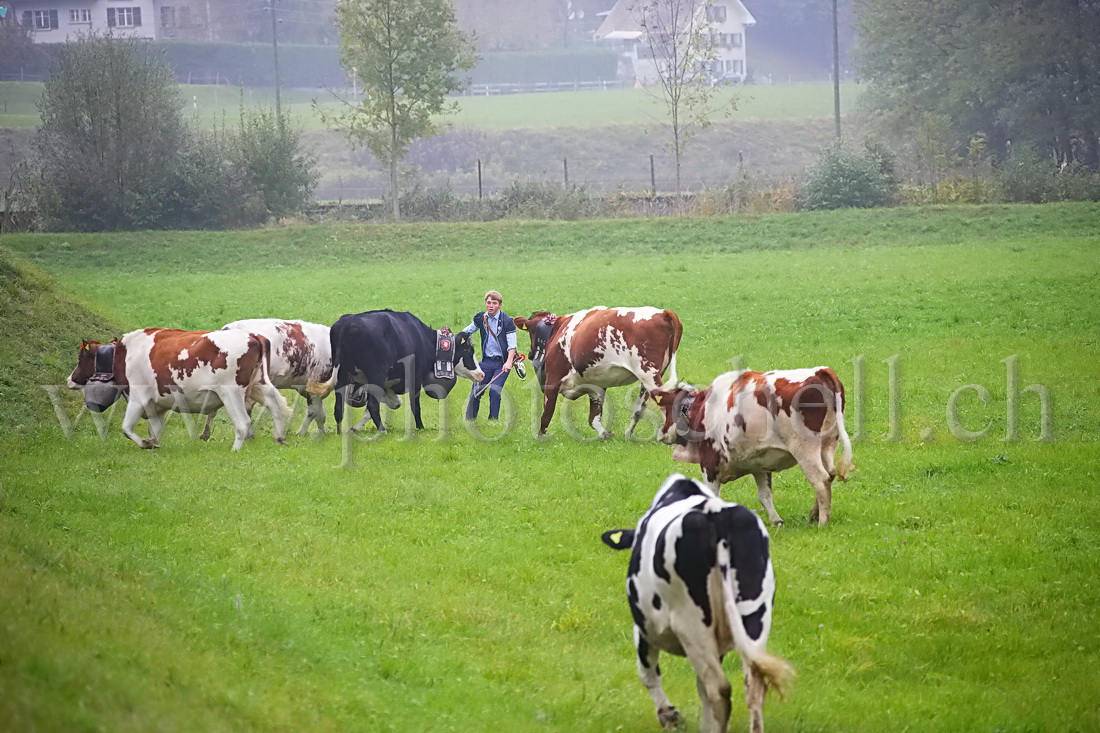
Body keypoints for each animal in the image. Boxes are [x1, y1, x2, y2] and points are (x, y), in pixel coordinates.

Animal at [66, 325, 290, 451]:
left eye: (80, 358)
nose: (70, 379)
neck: (124, 355)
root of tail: (253, 335)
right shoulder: (157, 406)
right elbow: (155, 430)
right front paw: (153, 444)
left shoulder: (138, 396)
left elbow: (126, 428)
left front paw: (145, 443)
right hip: (259, 386)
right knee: (275, 407)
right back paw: (279, 438)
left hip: (231, 392)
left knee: (243, 422)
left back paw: (236, 450)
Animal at [321, 310, 486, 433]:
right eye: (469, 351)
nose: (481, 374)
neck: (424, 339)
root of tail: (347, 322)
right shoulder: (415, 378)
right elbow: (415, 406)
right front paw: (420, 427)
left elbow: (394, 404)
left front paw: (356, 427)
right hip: (376, 375)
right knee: (373, 405)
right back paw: (382, 430)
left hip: (342, 377)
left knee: (339, 407)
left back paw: (340, 432)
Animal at [512, 305, 677, 435]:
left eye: (530, 332)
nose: (530, 354)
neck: (556, 330)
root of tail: (663, 312)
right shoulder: (597, 386)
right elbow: (594, 418)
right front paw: (605, 434)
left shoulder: (552, 380)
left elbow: (546, 414)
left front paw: (540, 438)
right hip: (652, 377)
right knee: (639, 409)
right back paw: (628, 434)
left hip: (649, 374)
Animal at [602, 473, 792, 730]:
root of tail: (715, 514)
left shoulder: (644, 628)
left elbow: (648, 673)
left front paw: (670, 716)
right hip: (754, 614)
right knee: (753, 684)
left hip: (691, 623)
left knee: (718, 690)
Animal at [655, 367, 853, 521]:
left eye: (666, 410)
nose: (661, 434)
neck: (703, 409)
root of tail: (820, 371)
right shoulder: (759, 463)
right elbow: (765, 495)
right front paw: (776, 520)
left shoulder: (709, 464)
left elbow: (712, 496)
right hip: (828, 445)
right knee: (830, 475)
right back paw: (813, 515)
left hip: (805, 449)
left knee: (820, 479)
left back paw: (822, 521)